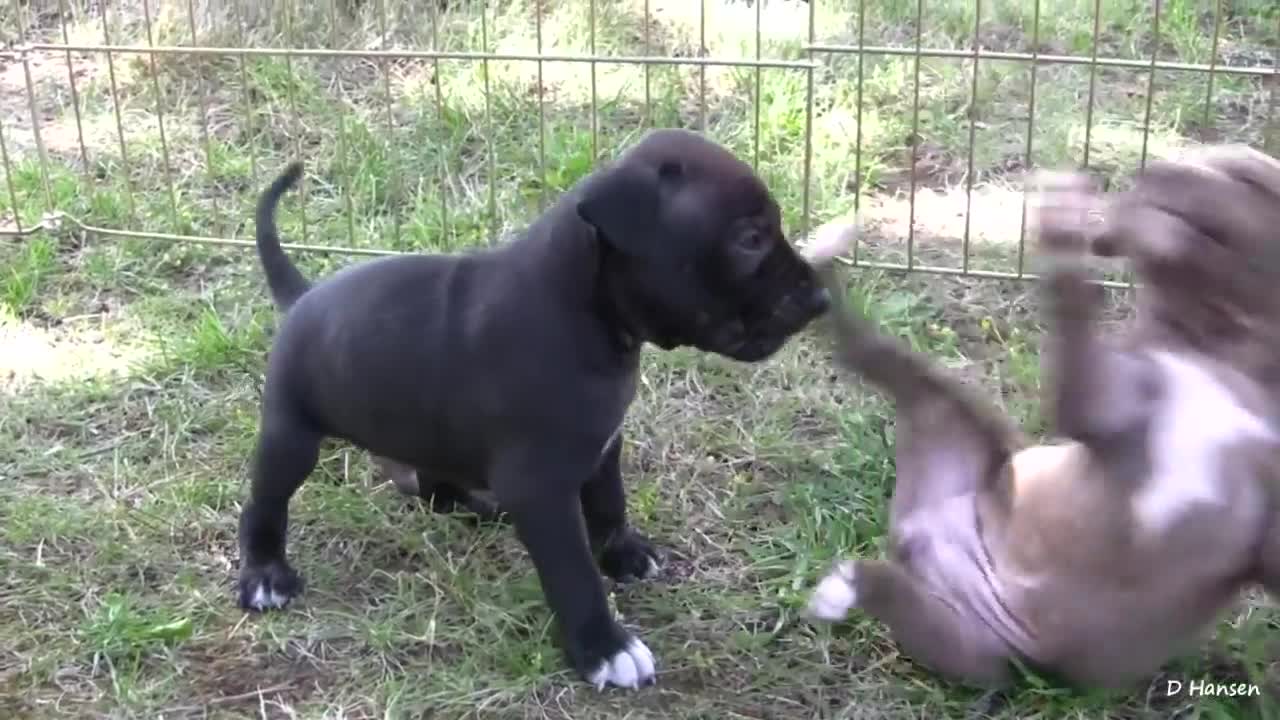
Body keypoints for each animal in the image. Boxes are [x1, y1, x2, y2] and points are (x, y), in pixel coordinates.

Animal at [238, 128, 829, 691]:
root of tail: (302, 296)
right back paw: (264, 575)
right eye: (750, 240)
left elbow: (609, 504)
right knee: (265, 504)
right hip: (290, 437)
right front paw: (604, 649)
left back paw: (475, 504)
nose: (822, 299)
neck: (587, 312)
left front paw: (623, 554)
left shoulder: (603, 447)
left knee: (433, 487)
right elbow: (573, 572)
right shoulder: (541, 486)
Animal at [808, 146, 1280, 691]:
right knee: (860, 348)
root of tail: (925, 538)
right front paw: (1062, 228)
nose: (1155, 169)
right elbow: (1076, 329)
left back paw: (849, 584)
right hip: (949, 416)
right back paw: (823, 254)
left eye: (1245, 177)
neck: (1218, 351)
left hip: (972, 649)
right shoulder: (1108, 404)